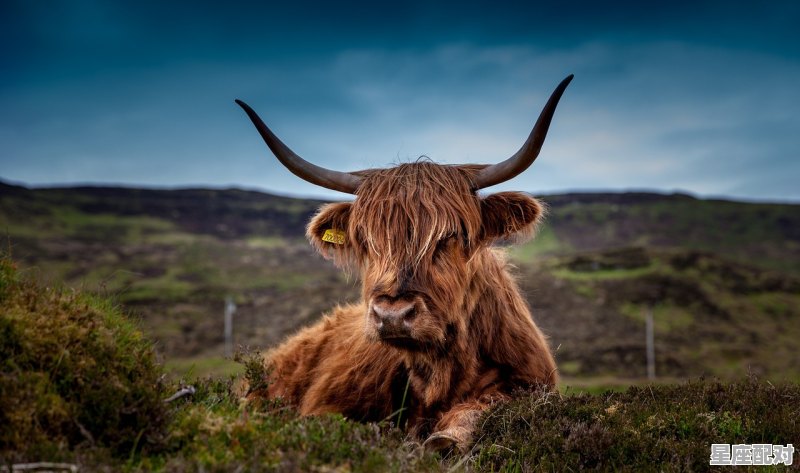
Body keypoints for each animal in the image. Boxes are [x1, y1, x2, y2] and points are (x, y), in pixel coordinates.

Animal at [234, 74, 572, 450]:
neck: (440, 373)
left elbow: (481, 408)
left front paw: (445, 438)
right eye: (366, 239)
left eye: (450, 235)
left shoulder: (529, 384)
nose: (392, 315)